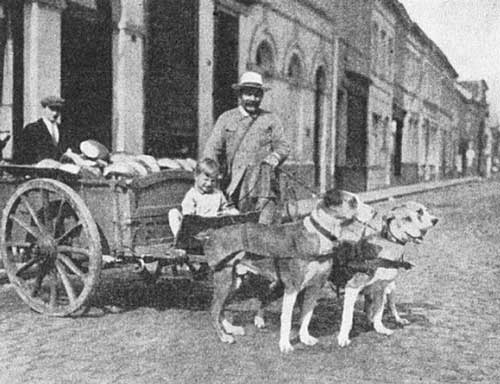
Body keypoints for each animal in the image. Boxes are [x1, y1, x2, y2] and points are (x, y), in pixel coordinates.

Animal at [201, 189, 376, 354]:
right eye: (352, 201)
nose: (374, 213)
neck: (320, 233)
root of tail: (212, 233)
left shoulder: (314, 288)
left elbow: (307, 315)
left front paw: (304, 338)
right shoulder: (292, 288)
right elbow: (287, 318)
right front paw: (285, 345)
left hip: (234, 281)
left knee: (221, 307)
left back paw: (230, 328)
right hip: (223, 279)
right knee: (214, 309)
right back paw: (223, 336)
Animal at [336, 202, 438, 346]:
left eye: (425, 211)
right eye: (408, 218)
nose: (435, 220)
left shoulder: (381, 288)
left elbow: (378, 312)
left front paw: (380, 329)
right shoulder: (352, 287)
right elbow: (348, 317)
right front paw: (343, 338)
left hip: (391, 289)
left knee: (390, 306)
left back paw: (397, 319)